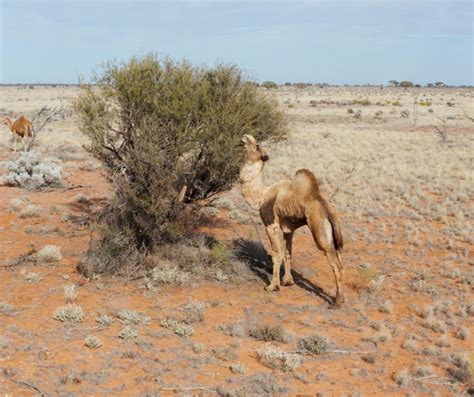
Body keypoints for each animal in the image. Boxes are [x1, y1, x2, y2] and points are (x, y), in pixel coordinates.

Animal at [241, 135, 344, 304]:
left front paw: (272, 286)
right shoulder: (288, 230)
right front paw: (287, 281)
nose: (245, 137)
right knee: (340, 259)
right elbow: (287, 253)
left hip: (320, 232)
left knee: (335, 264)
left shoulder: (271, 225)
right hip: (335, 237)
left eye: (256, 146)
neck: (262, 195)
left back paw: (337, 301)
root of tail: (329, 214)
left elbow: (276, 254)